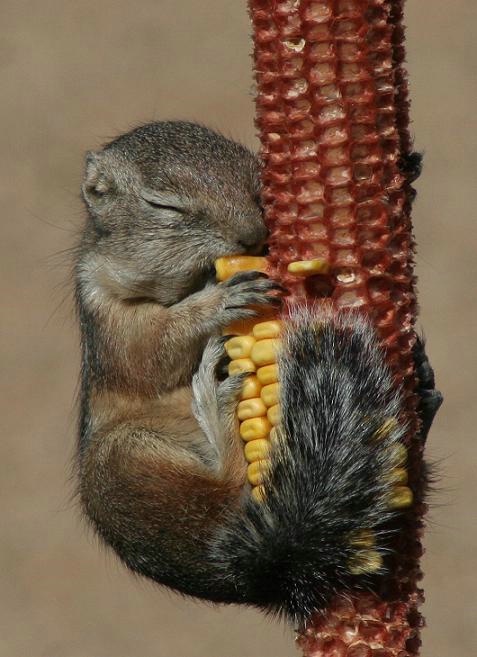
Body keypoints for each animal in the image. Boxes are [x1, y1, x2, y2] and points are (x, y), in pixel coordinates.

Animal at [75, 121, 442, 623]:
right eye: (163, 206)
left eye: (259, 185)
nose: (252, 235)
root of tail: (255, 572)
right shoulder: (108, 316)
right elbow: (152, 349)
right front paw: (221, 300)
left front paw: (406, 171)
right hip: (122, 460)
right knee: (231, 482)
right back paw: (216, 401)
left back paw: (423, 391)